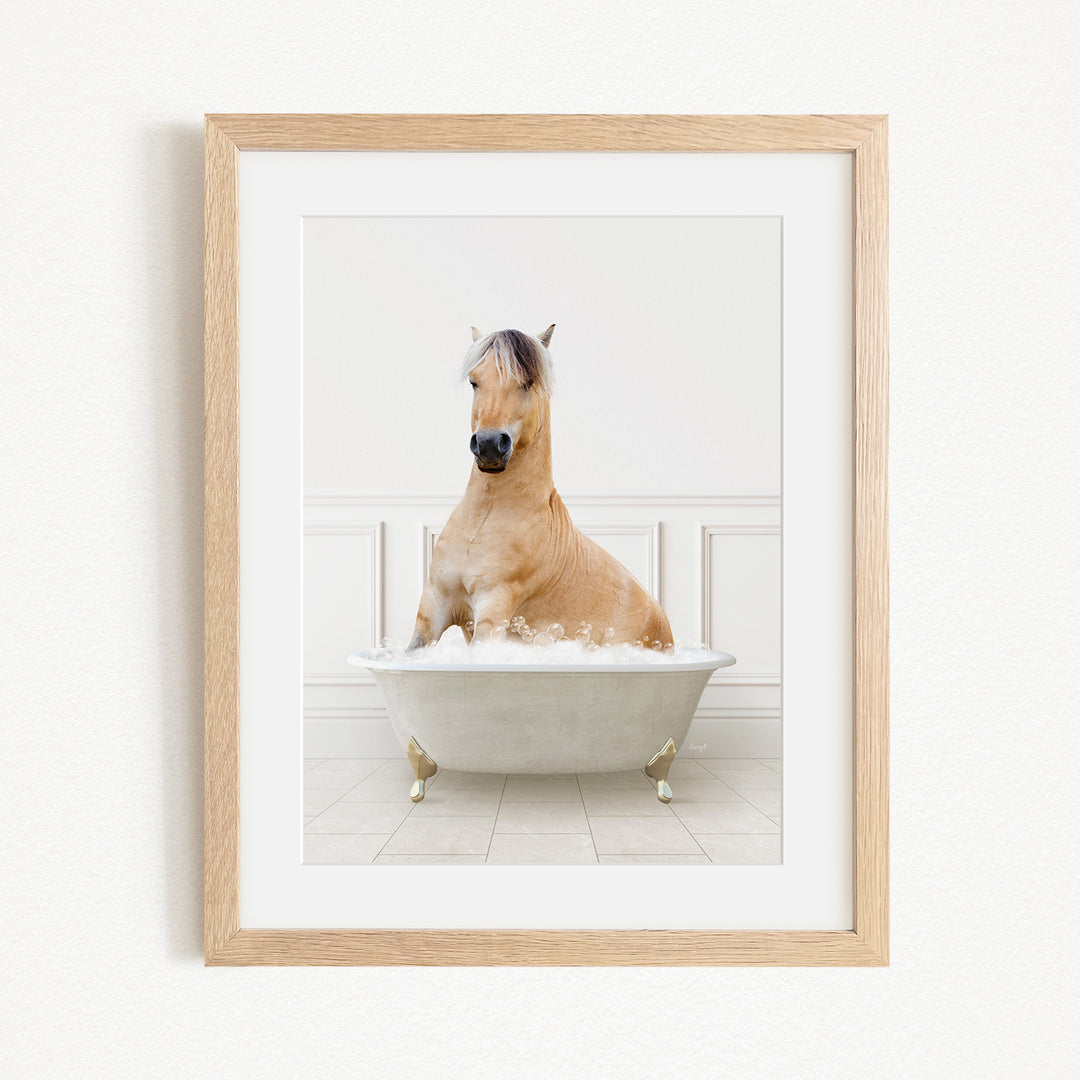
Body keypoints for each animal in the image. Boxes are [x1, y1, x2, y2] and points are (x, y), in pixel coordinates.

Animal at [407, 325, 674, 651]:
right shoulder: (434, 605)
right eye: (474, 382)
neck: (483, 521)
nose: (489, 445)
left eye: (527, 382)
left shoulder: (493, 608)